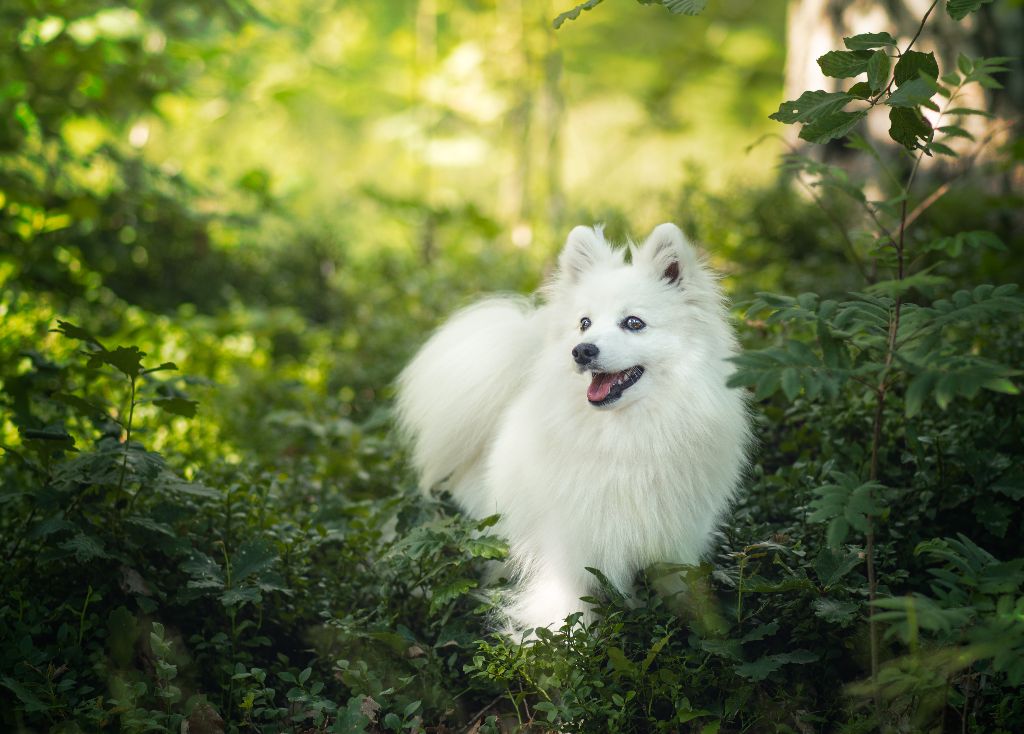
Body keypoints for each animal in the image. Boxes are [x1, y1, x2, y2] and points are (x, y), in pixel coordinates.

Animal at [395, 223, 749, 630]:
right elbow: (568, 623)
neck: (625, 437)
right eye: (584, 323)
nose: (582, 350)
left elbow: (689, 601)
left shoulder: (672, 545)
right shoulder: (568, 555)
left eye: (634, 323)